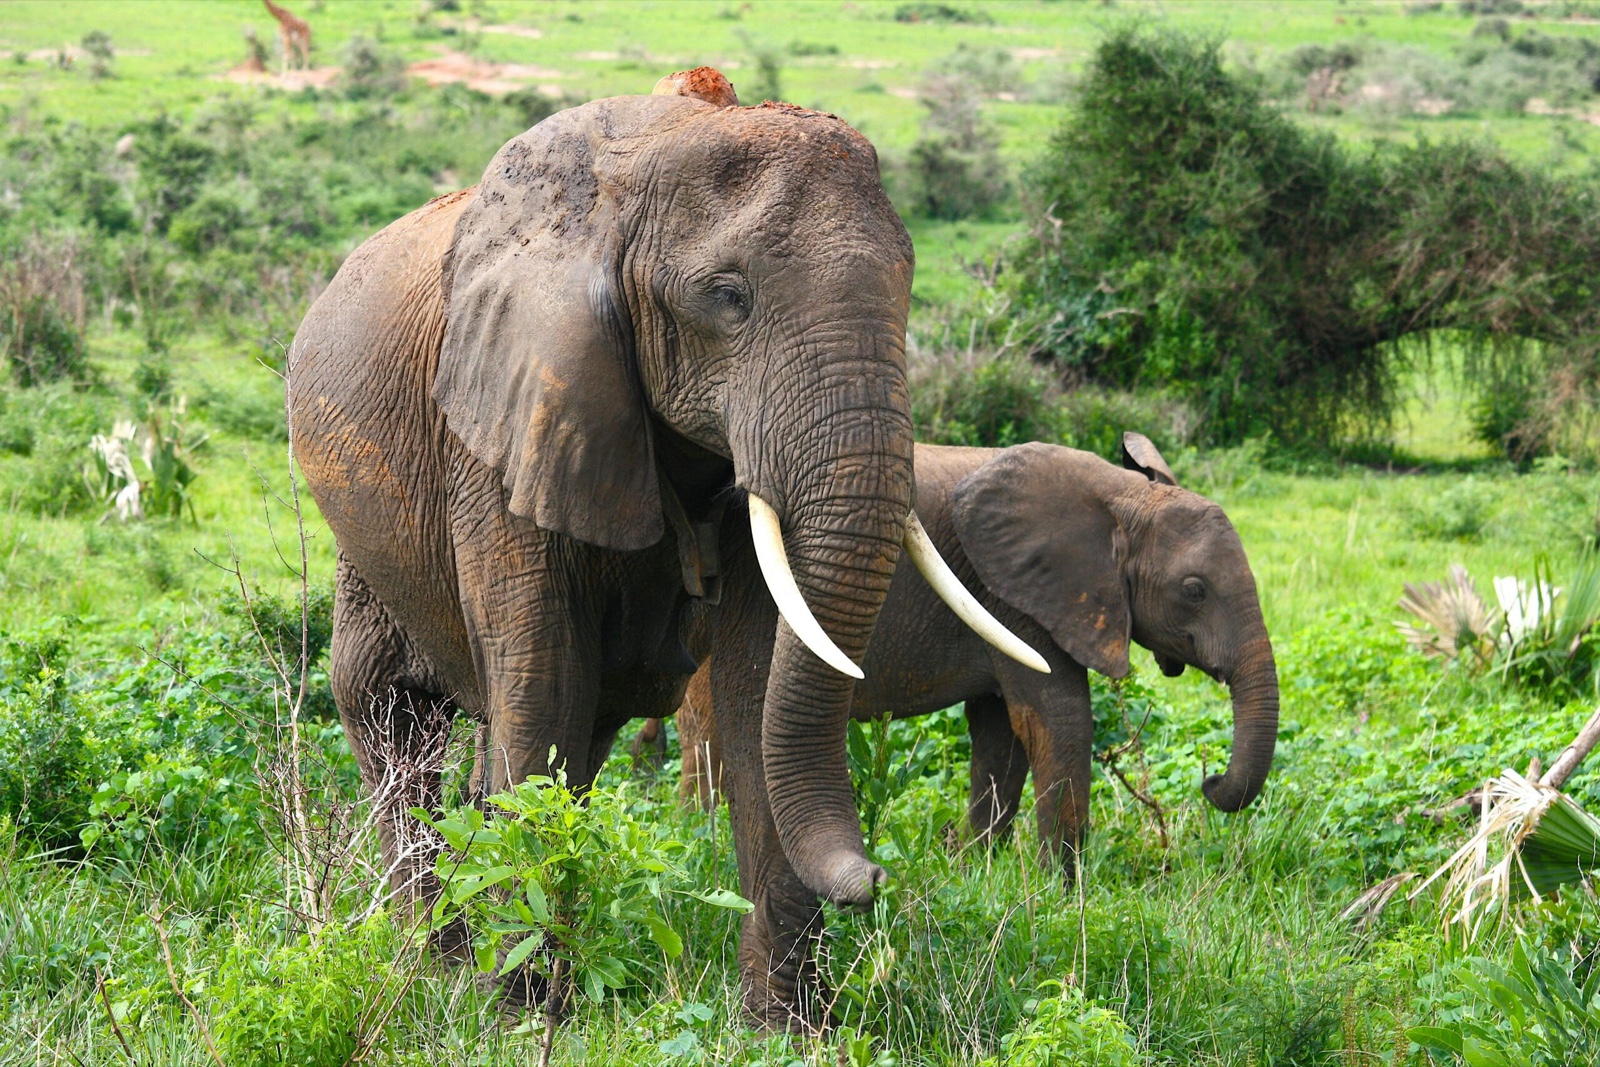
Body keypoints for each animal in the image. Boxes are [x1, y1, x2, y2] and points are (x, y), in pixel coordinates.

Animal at [286, 71, 1037, 1025]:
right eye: (729, 296)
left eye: (908, 287)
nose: (877, 877)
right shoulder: (503, 422)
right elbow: (542, 677)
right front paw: (524, 1011)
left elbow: (756, 688)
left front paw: (785, 1024)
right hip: (364, 528)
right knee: (393, 707)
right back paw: (443, 968)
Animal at [646, 435, 1280, 873]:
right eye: (1194, 591)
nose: (1211, 782)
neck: (1123, 495)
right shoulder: (1016, 596)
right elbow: (1058, 719)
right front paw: (1061, 888)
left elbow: (1002, 731)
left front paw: (977, 865)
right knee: (708, 732)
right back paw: (696, 842)